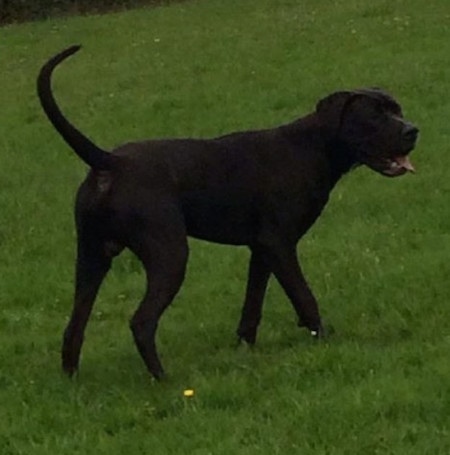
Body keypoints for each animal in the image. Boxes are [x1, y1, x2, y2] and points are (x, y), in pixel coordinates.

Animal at [37, 47, 418, 382]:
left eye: (397, 109)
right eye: (374, 115)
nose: (412, 130)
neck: (313, 148)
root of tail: (110, 162)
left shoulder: (262, 250)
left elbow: (253, 304)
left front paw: (243, 348)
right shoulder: (279, 244)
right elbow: (304, 297)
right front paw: (323, 339)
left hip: (91, 259)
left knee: (74, 327)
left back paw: (71, 381)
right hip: (169, 255)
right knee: (141, 322)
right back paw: (162, 378)